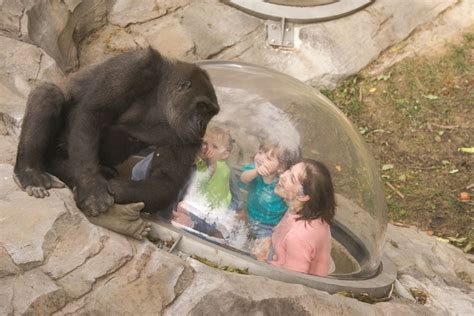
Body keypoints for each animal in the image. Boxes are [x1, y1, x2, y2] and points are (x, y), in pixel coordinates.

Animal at [13, 48, 219, 223]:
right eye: (202, 107)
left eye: (211, 113)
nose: (202, 126)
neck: (162, 97)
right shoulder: (136, 66)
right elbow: (91, 112)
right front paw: (92, 189)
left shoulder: (187, 135)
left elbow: (165, 180)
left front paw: (116, 189)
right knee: (49, 95)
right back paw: (30, 172)